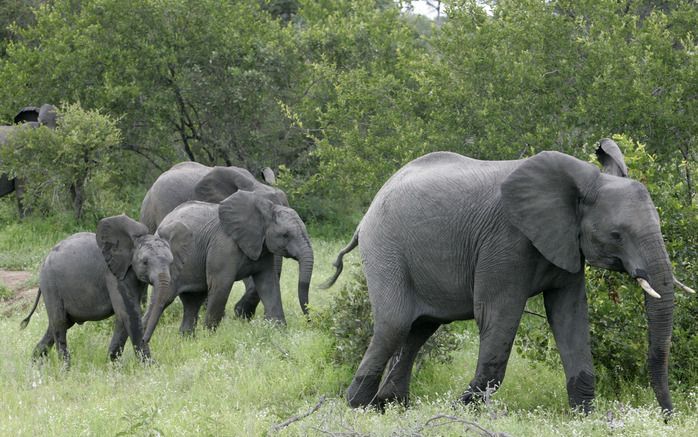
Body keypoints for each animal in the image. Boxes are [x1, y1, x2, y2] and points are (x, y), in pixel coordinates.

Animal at [21, 213, 179, 366]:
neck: (133, 242)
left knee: (59, 324)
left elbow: (124, 315)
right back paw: (65, 369)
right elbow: (129, 313)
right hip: (50, 285)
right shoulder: (113, 275)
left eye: (171, 262)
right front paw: (151, 366)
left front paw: (113, 364)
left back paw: (35, 366)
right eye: (145, 262)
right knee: (59, 323)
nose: (146, 339)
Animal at [141, 189, 312, 342]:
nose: (309, 321)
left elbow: (268, 284)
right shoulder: (223, 246)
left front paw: (280, 332)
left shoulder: (261, 247)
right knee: (165, 298)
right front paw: (210, 338)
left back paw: (186, 340)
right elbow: (221, 286)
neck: (265, 211)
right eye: (285, 235)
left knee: (192, 301)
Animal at [320, 139, 684, 412]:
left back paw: (389, 405)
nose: (667, 414)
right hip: (385, 249)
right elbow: (497, 315)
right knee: (394, 324)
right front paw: (461, 410)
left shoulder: (567, 244)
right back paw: (356, 406)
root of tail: (367, 212)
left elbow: (569, 316)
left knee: (419, 328)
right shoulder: (506, 242)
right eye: (617, 235)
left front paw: (583, 416)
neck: (581, 183)